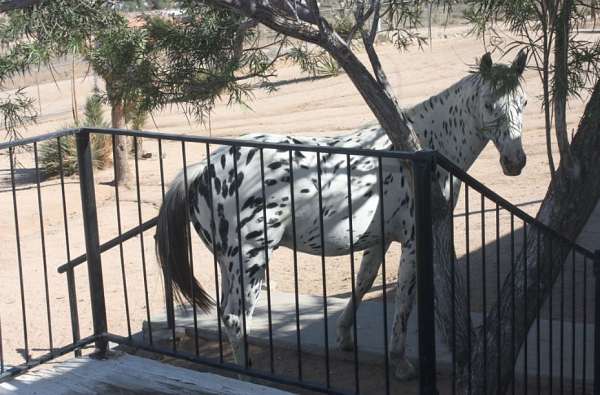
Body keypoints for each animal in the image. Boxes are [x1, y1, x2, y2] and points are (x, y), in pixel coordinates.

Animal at [156, 48, 528, 382]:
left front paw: (344, 336)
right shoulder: (411, 241)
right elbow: (404, 301)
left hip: (228, 263)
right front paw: (400, 363)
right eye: (489, 104)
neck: (416, 148)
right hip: (251, 260)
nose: (515, 162)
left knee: (227, 316)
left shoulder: (378, 240)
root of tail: (204, 167)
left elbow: (363, 282)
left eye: (523, 102)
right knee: (236, 319)